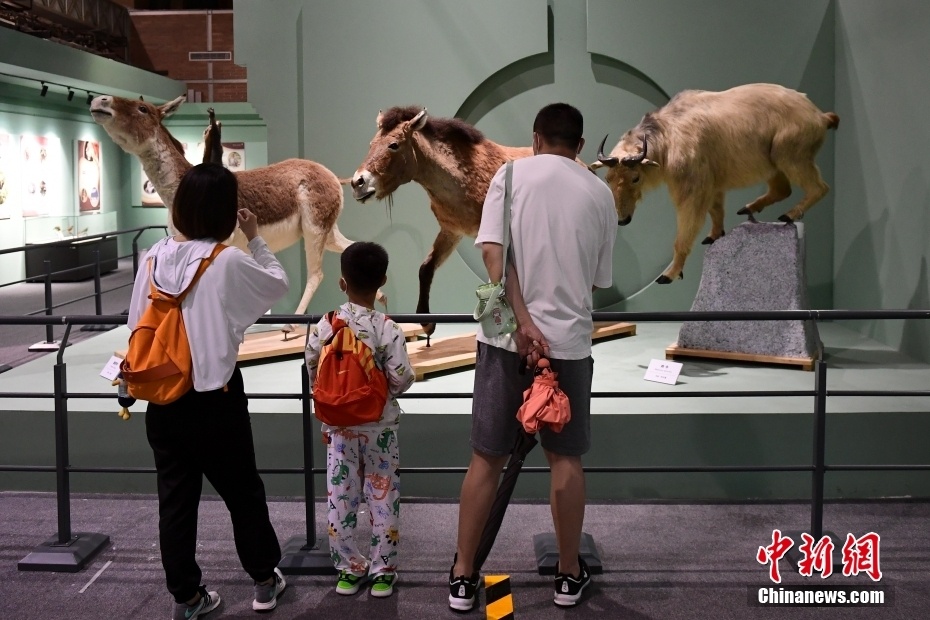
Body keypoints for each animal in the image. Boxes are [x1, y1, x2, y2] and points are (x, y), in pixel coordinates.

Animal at [89, 94, 366, 318]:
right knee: (353, 248)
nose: (99, 100)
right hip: (327, 232)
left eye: (143, 108)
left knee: (316, 274)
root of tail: (333, 176)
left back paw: (291, 327)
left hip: (314, 230)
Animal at [352, 109, 532, 336]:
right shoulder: (451, 232)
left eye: (394, 145)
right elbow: (426, 268)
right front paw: (427, 322)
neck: (465, 175)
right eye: (371, 144)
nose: (357, 182)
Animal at [592, 82, 836, 284]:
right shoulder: (713, 185)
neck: (667, 133)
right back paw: (750, 207)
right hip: (774, 164)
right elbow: (717, 211)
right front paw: (715, 235)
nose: (621, 219)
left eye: (636, 177)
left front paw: (670, 274)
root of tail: (821, 116)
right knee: (782, 189)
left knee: (819, 188)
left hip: (790, 156)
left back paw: (789, 214)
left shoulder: (692, 190)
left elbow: (684, 235)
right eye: (608, 178)